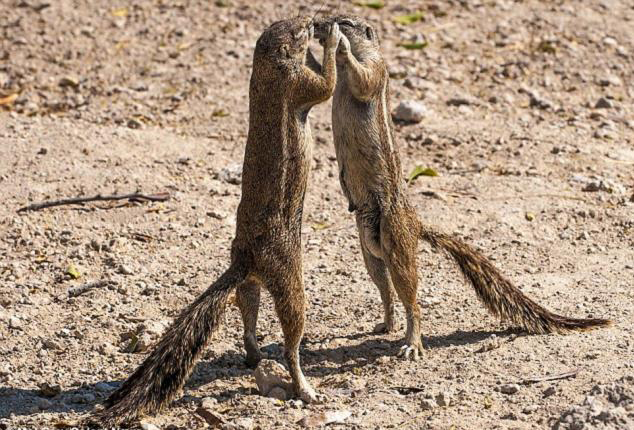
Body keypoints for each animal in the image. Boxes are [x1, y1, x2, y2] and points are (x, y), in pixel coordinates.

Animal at [89, 15, 340, 424]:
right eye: (297, 29)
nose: (313, 20)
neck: (266, 72)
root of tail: (244, 260)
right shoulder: (297, 83)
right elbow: (326, 87)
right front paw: (333, 39)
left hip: (252, 282)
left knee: (245, 310)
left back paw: (254, 355)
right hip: (290, 279)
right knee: (291, 340)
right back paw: (305, 388)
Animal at [314, 15, 608, 360]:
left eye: (345, 21)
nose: (318, 24)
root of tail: (416, 224)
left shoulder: (376, 66)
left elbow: (364, 80)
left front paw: (340, 45)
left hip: (396, 242)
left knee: (411, 299)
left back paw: (412, 343)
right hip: (369, 247)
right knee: (386, 289)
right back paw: (385, 324)